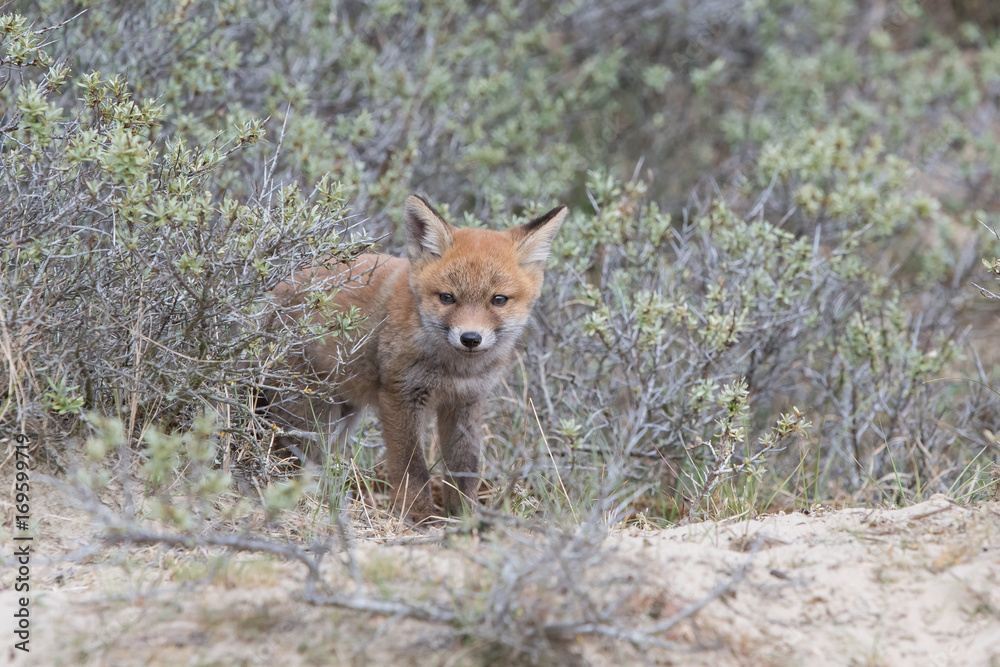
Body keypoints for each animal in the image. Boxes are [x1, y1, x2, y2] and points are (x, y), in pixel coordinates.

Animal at [263, 194, 566, 522]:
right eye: (447, 298)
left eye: (498, 300)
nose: (471, 338)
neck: (455, 370)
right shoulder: (400, 395)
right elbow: (412, 467)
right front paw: (420, 516)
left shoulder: (467, 402)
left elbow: (464, 468)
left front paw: (465, 517)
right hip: (307, 413)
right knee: (290, 456)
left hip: (342, 415)